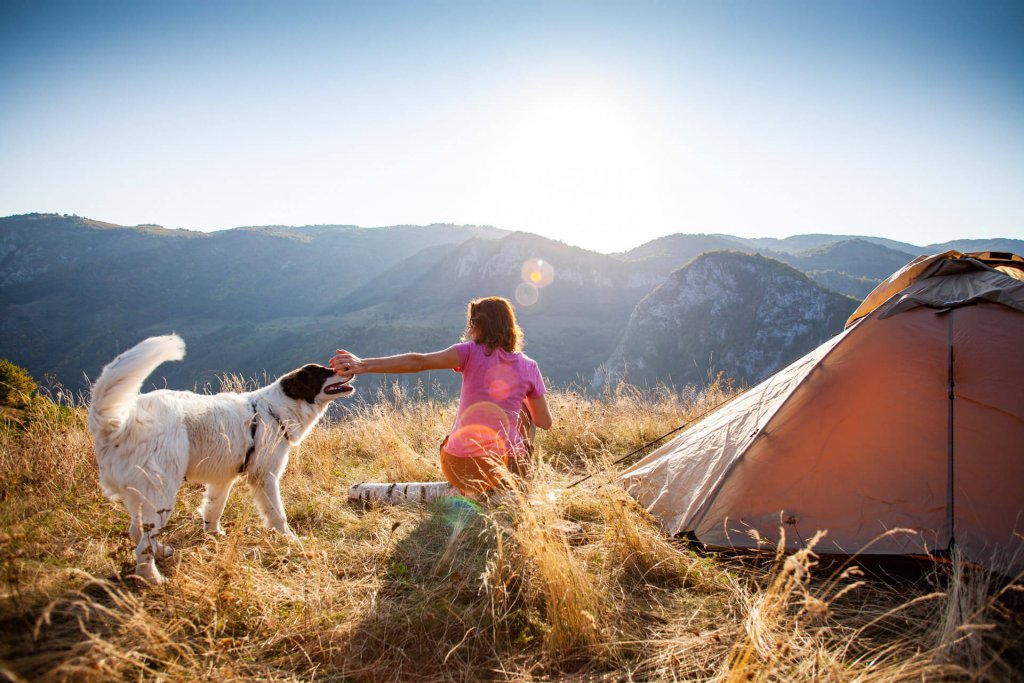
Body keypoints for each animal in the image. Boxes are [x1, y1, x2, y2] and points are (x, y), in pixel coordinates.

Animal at [86, 333, 356, 585]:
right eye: (323, 373)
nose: (349, 369)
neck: (274, 411)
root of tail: (120, 423)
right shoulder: (265, 476)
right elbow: (277, 513)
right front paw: (290, 538)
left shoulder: (222, 478)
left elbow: (214, 508)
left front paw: (213, 534)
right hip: (162, 492)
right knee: (143, 544)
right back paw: (153, 578)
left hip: (139, 493)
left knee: (136, 530)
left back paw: (162, 551)